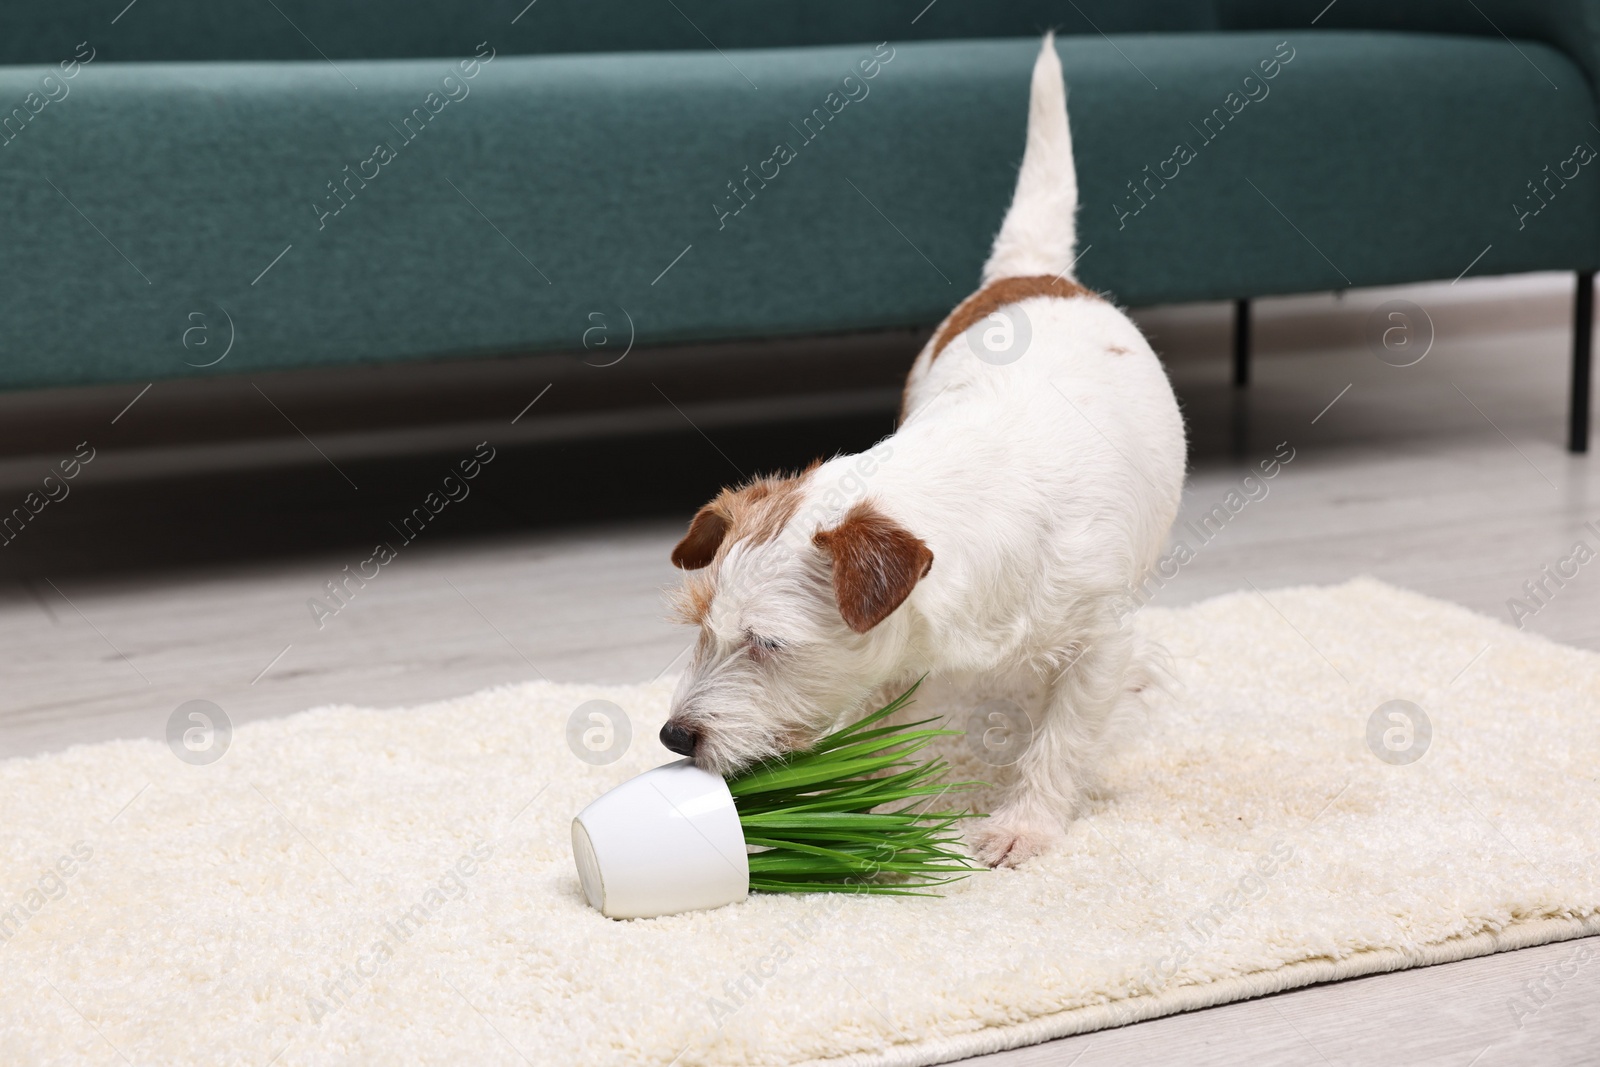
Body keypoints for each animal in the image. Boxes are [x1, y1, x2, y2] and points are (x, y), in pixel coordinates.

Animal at [652, 35, 1190, 870]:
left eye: (768, 642)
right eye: (700, 627)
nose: (675, 734)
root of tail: (1031, 273)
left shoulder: (1098, 639)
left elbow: (1063, 734)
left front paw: (1024, 821)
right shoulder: (902, 667)